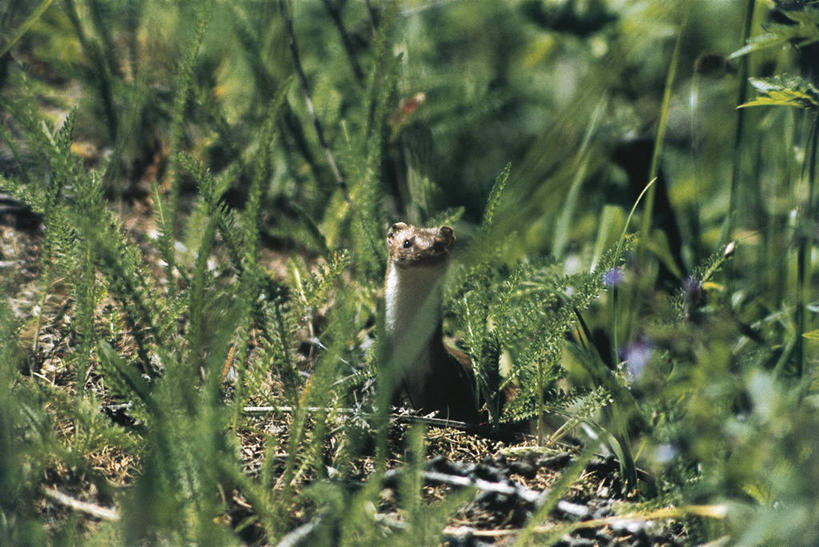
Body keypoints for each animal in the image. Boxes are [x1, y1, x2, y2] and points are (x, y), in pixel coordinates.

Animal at [386, 223, 480, 424]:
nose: (423, 255)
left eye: (438, 245)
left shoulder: (438, 367)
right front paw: (406, 409)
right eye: (406, 242)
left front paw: (433, 412)